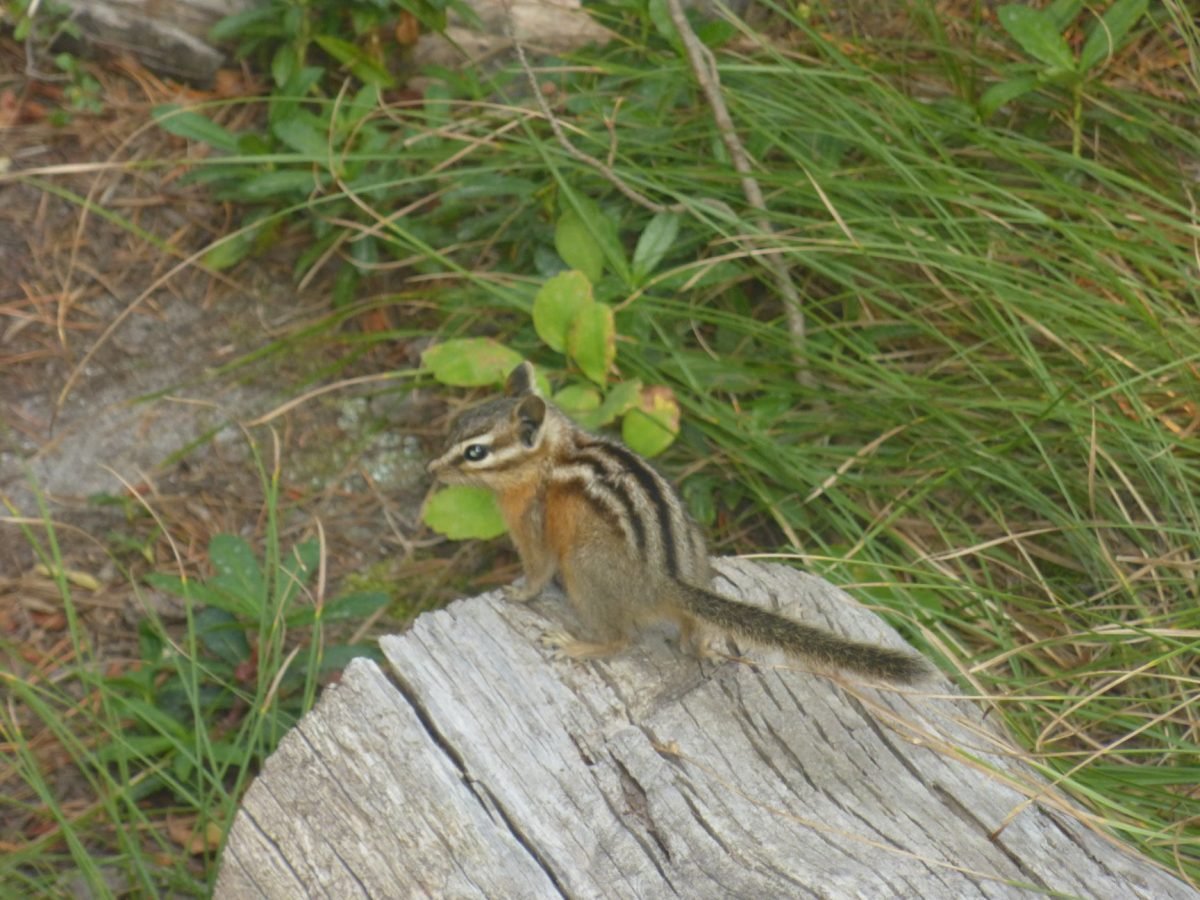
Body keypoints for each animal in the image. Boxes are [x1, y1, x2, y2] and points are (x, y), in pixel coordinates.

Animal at [427, 362, 929, 683]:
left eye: (476, 452)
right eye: (456, 423)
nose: (432, 469)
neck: (554, 453)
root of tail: (667, 581)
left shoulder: (530, 523)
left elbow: (536, 569)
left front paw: (518, 594)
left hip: (585, 572)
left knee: (621, 639)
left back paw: (577, 644)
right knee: (689, 633)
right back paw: (703, 646)